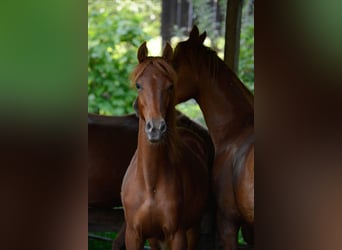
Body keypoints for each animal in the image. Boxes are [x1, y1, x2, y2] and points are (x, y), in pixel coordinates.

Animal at [121, 42, 210, 249]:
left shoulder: (177, 235)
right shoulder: (134, 235)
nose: (155, 128)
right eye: (138, 85)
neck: (150, 184)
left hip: (192, 229)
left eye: (170, 86)